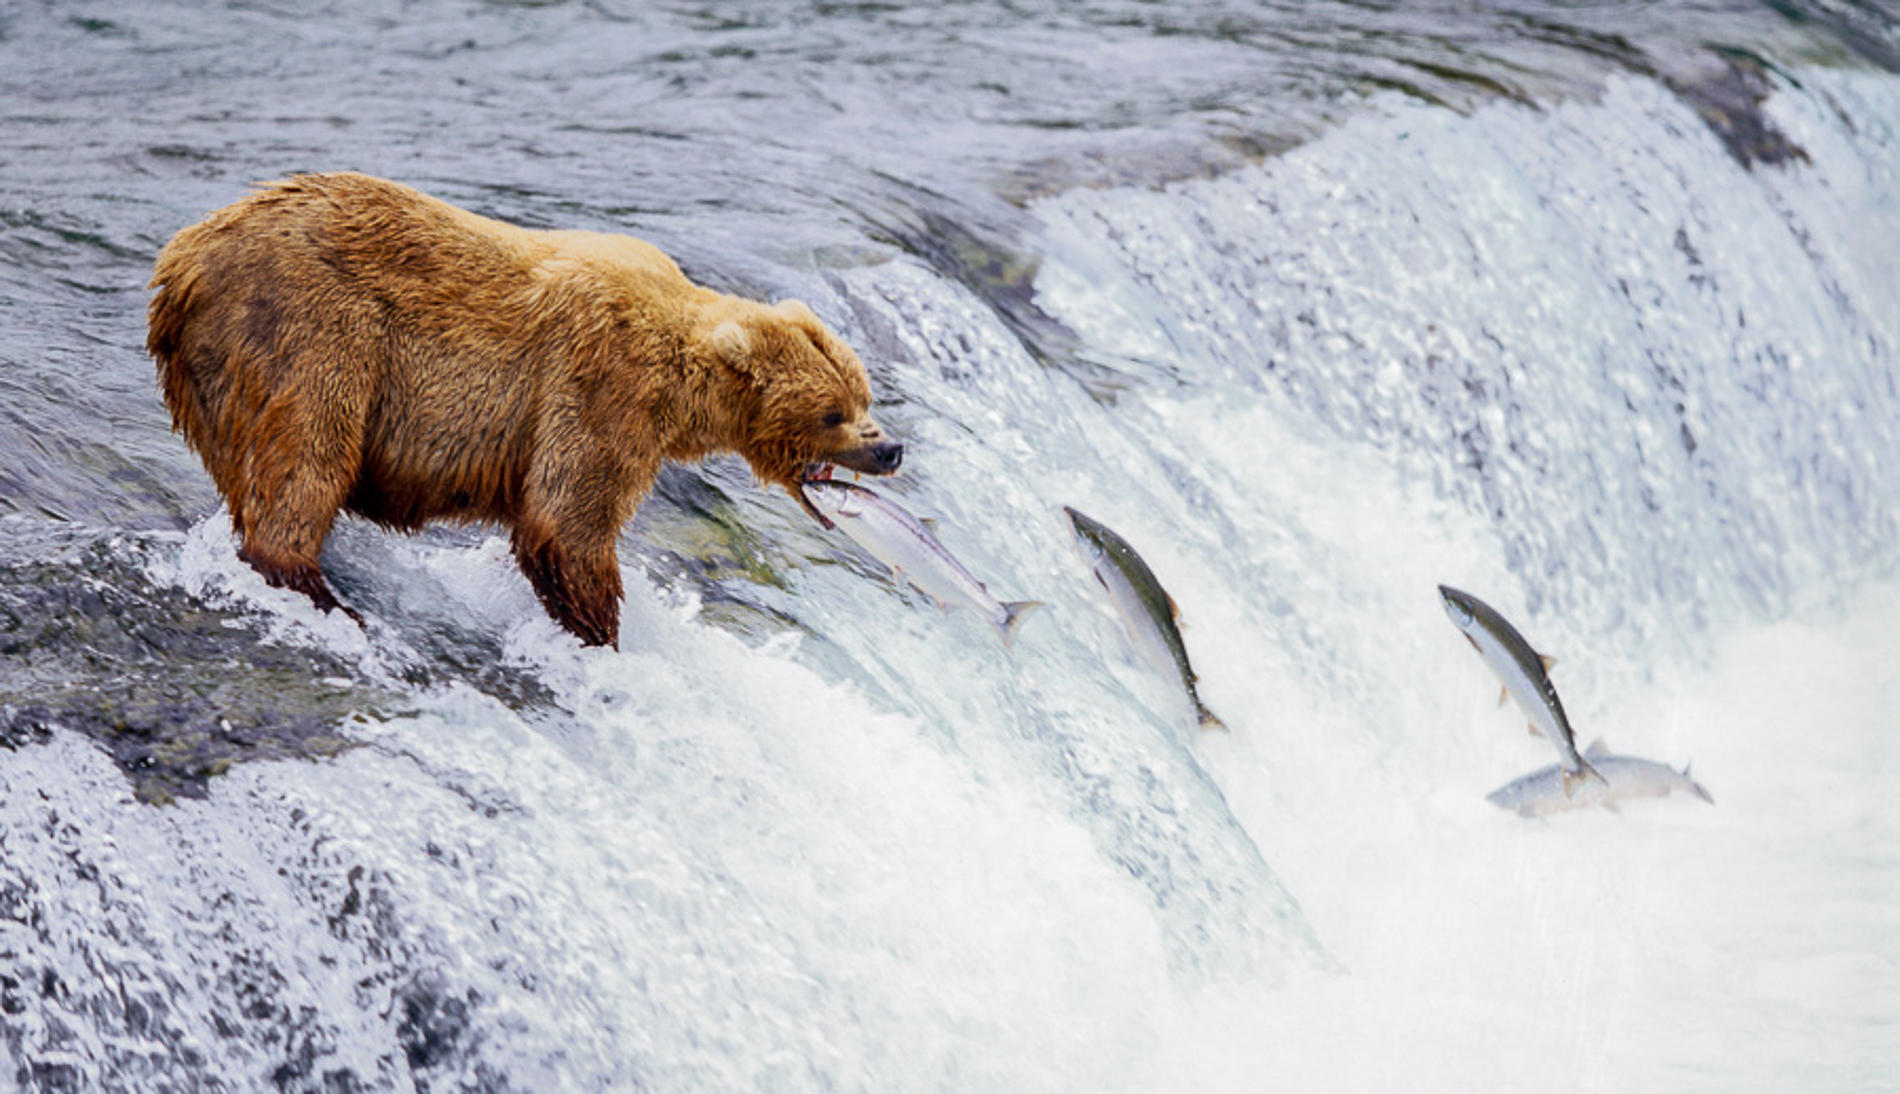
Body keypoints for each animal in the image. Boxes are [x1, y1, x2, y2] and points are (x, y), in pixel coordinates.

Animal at [144, 171, 900, 649]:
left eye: (863, 397)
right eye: (833, 412)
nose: (889, 448)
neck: (686, 387)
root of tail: (181, 261)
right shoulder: (602, 382)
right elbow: (565, 520)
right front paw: (600, 630)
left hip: (216, 377)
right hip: (313, 328)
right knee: (308, 453)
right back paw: (318, 591)